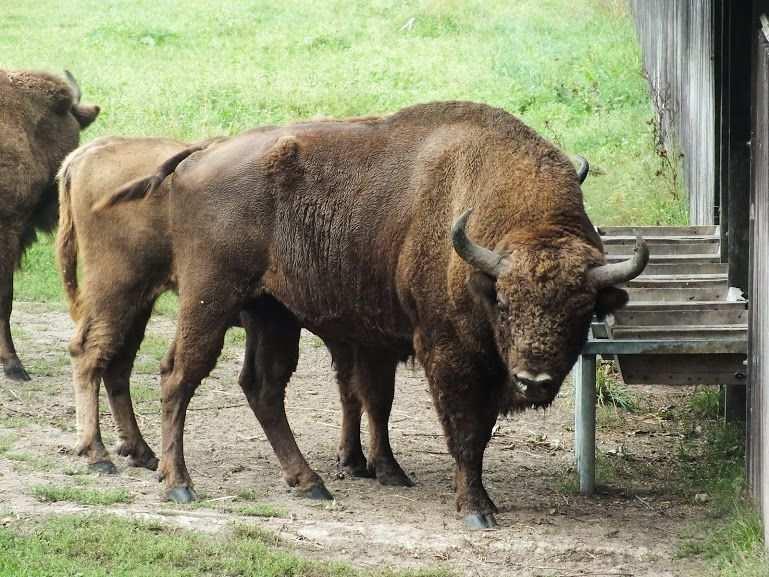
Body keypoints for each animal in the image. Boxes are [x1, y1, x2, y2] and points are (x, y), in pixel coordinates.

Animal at [57, 134, 414, 496]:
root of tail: (88, 152)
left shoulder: (345, 340)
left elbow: (354, 393)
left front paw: (357, 460)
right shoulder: (365, 343)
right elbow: (373, 397)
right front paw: (381, 466)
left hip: (139, 303)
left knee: (117, 363)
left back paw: (141, 453)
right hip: (118, 290)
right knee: (89, 354)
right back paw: (98, 455)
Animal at [108, 100, 648, 528]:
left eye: (582, 307)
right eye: (505, 301)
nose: (534, 380)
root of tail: (202, 153)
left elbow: (391, 404)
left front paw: (397, 474)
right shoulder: (445, 353)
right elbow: (464, 432)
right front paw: (476, 510)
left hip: (272, 312)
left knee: (264, 387)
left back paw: (310, 482)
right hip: (211, 299)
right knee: (179, 375)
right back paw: (178, 483)